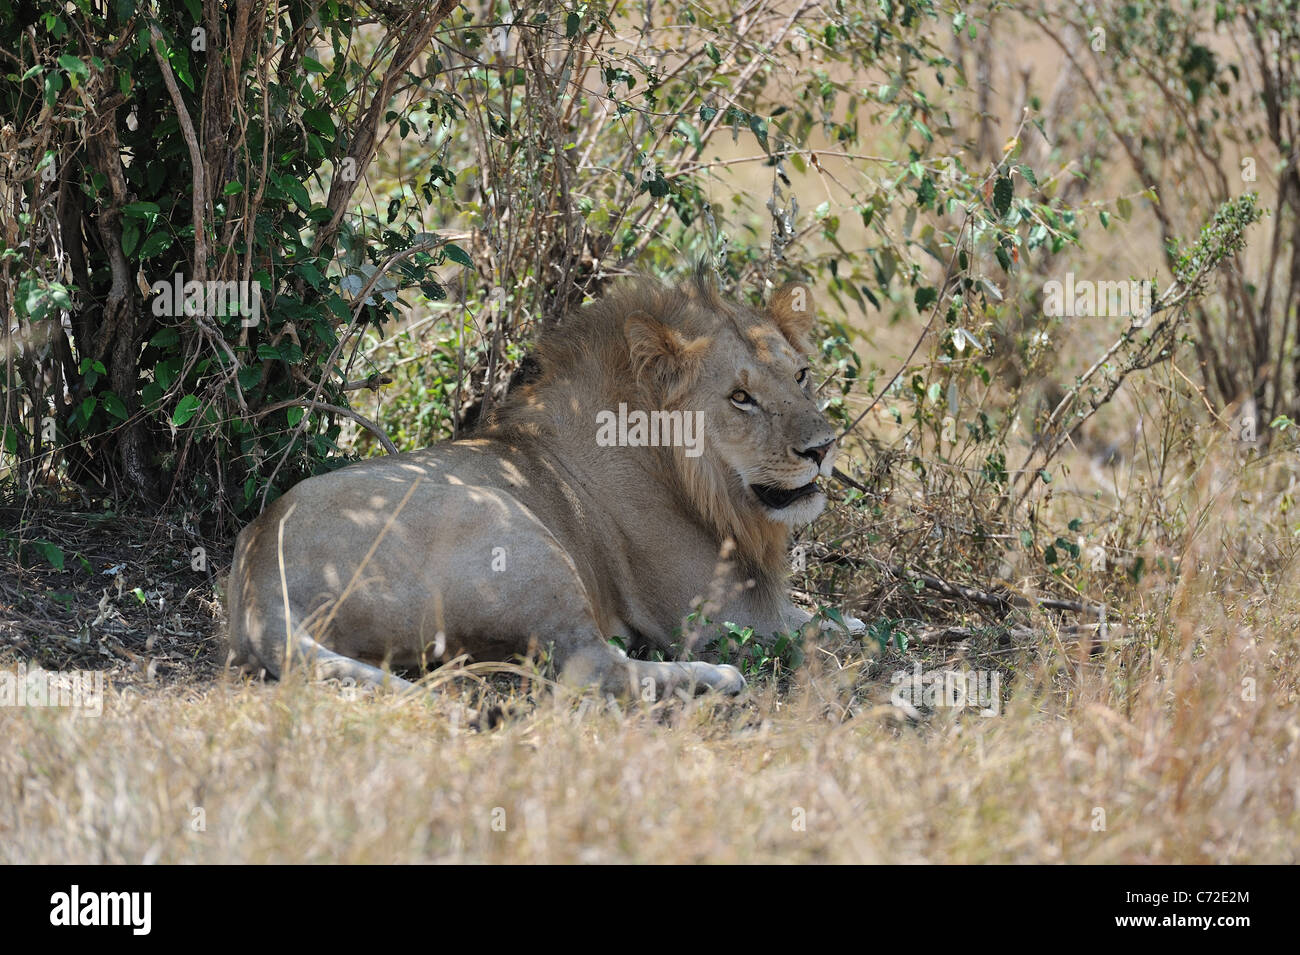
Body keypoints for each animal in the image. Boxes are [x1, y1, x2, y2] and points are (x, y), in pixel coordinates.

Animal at [225, 273, 847, 698]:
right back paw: (716, 679)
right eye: (740, 397)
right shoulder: (722, 616)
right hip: (512, 528)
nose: (823, 448)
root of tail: (261, 585)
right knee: (593, 667)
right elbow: (836, 630)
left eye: (801, 376)